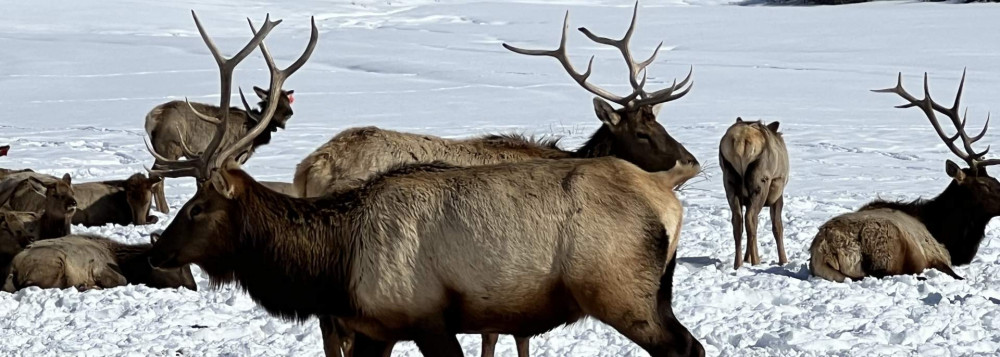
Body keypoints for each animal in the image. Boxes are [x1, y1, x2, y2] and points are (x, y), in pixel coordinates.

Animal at [2, 234, 197, 292]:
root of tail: (12, 268)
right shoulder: (100, 269)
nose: (193, 286)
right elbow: (122, 281)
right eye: (177, 266)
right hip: (56, 264)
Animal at [720, 118, 788, 268]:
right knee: (751, 219)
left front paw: (747, 258)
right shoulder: (777, 196)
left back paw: (738, 264)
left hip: (729, 181)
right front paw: (784, 261)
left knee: (738, 221)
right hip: (760, 182)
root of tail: (741, 140)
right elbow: (777, 227)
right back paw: (756, 262)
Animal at [812, 69, 1000, 280]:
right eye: (983, 185)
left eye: (995, 179)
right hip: (888, 246)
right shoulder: (937, 254)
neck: (943, 232)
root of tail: (825, 249)